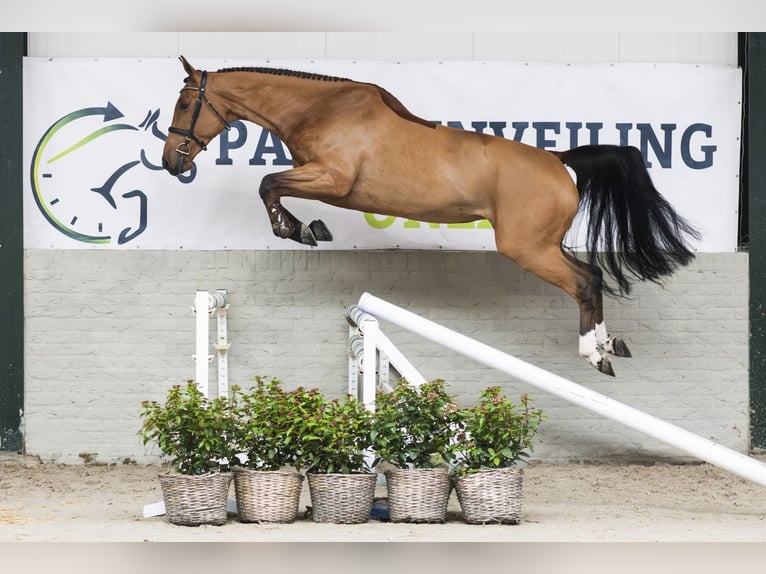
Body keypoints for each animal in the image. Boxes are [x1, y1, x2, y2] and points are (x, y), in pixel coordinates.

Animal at [162, 56, 700, 377]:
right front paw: (307, 227)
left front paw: (299, 229)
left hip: (527, 248)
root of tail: (560, 159)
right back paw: (609, 346)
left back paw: (594, 352)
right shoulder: (323, 180)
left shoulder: (333, 181)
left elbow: (268, 184)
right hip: (542, 244)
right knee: (592, 275)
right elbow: (271, 184)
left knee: (586, 280)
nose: (171, 163)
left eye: (186, 103)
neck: (321, 108)